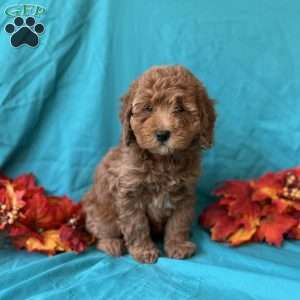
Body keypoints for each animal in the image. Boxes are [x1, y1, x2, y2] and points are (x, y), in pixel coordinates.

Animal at [82, 65, 216, 262]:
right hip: (101, 213)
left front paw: (177, 245)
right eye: (148, 108)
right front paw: (143, 250)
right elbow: (137, 225)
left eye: (180, 108)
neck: (163, 161)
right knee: (100, 231)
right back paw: (111, 243)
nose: (162, 134)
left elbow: (179, 222)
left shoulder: (185, 194)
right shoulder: (129, 195)